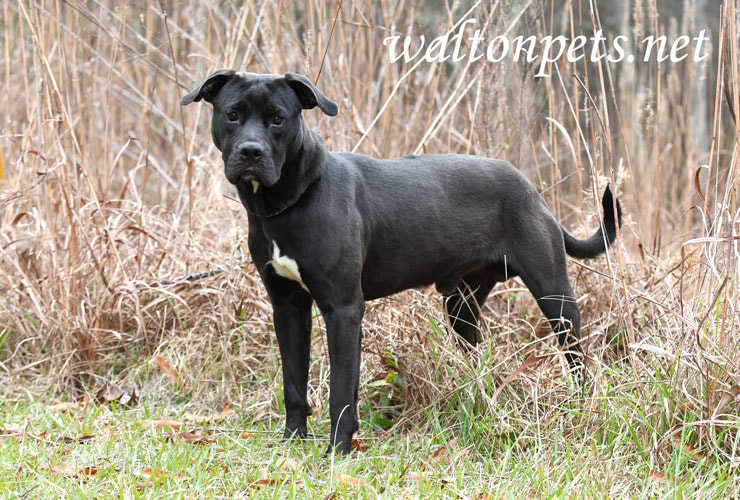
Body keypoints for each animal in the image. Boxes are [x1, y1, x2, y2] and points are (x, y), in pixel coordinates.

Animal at [182, 71, 620, 458]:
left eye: (278, 119)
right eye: (232, 114)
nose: (250, 152)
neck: (289, 202)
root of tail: (533, 190)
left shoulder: (343, 309)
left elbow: (341, 391)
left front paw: (337, 452)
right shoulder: (288, 307)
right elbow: (294, 384)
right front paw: (292, 443)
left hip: (555, 296)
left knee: (577, 358)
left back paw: (581, 405)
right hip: (462, 306)